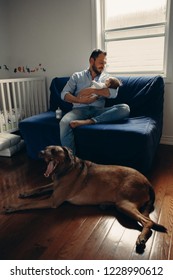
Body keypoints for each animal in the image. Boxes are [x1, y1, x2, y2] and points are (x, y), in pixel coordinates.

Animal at [3, 145, 166, 253]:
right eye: (45, 148)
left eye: (54, 151)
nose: (40, 152)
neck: (66, 168)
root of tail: (147, 182)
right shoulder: (53, 186)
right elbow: (38, 188)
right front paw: (26, 192)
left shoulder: (52, 200)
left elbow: (29, 203)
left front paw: (12, 206)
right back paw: (106, 205)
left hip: (124, 204)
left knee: (148, 222)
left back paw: (142, 238)